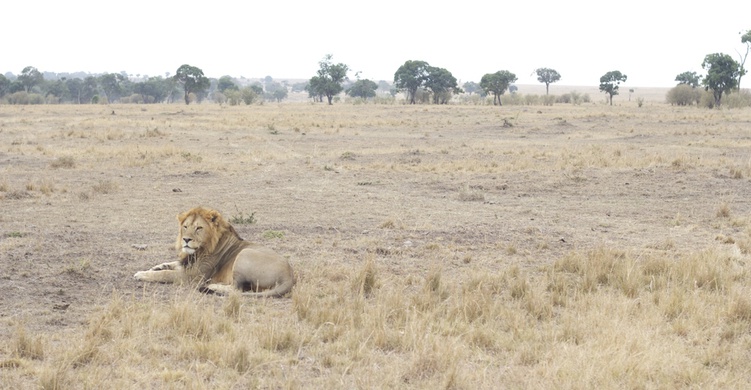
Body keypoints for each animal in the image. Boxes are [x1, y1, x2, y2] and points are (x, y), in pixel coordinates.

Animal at [134, 206, 296, 298]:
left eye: (199, 228)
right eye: (185, 226)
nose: (186, 239)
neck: (199, 251)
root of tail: (289, 276)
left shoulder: (193, 277)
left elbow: (165, 274)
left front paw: (142, 274)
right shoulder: (188, 263)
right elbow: (171, 264)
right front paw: (156, 267)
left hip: (244, 254)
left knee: (237, 289)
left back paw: (211, 287)